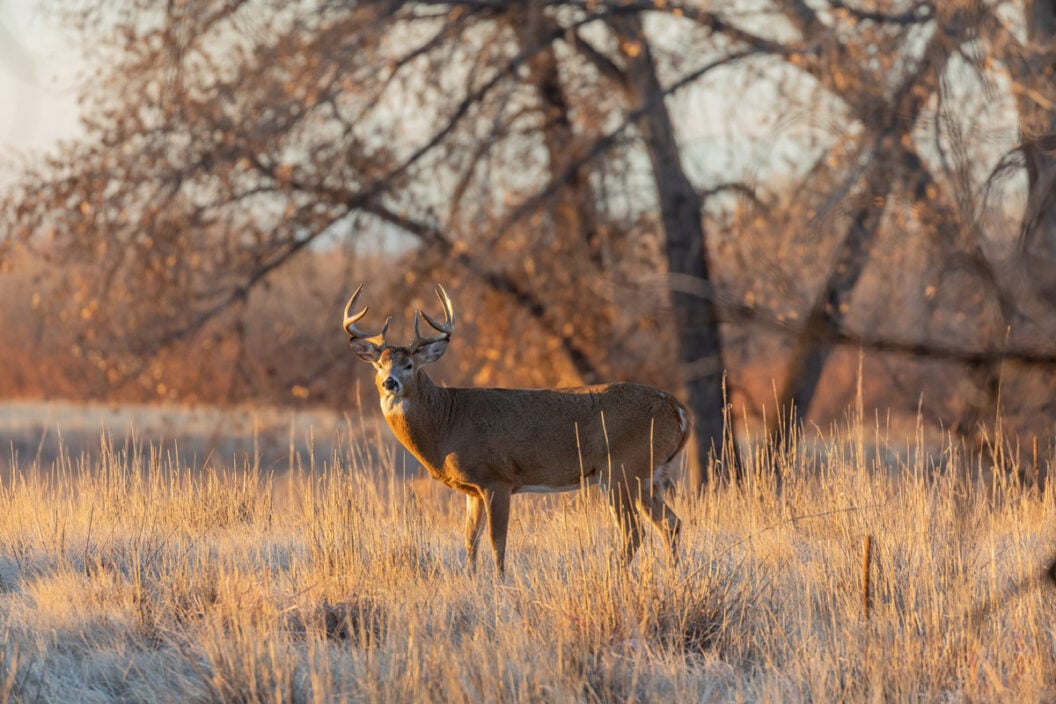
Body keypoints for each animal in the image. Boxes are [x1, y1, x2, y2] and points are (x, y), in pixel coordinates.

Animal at [346, 282, 688, 574]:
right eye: (379, 365)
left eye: (409, 365)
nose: (390, 383)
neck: (447, 423)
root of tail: (679, 410)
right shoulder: (472, 489)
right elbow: (469, 540)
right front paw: (471, 579)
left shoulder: (497, 479)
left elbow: (497, 541)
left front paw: (500, 582)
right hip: (647, 475)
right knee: (671, 523)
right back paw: (674, 576)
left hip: (622, 468)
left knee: (634, 531)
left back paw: (615, 575)